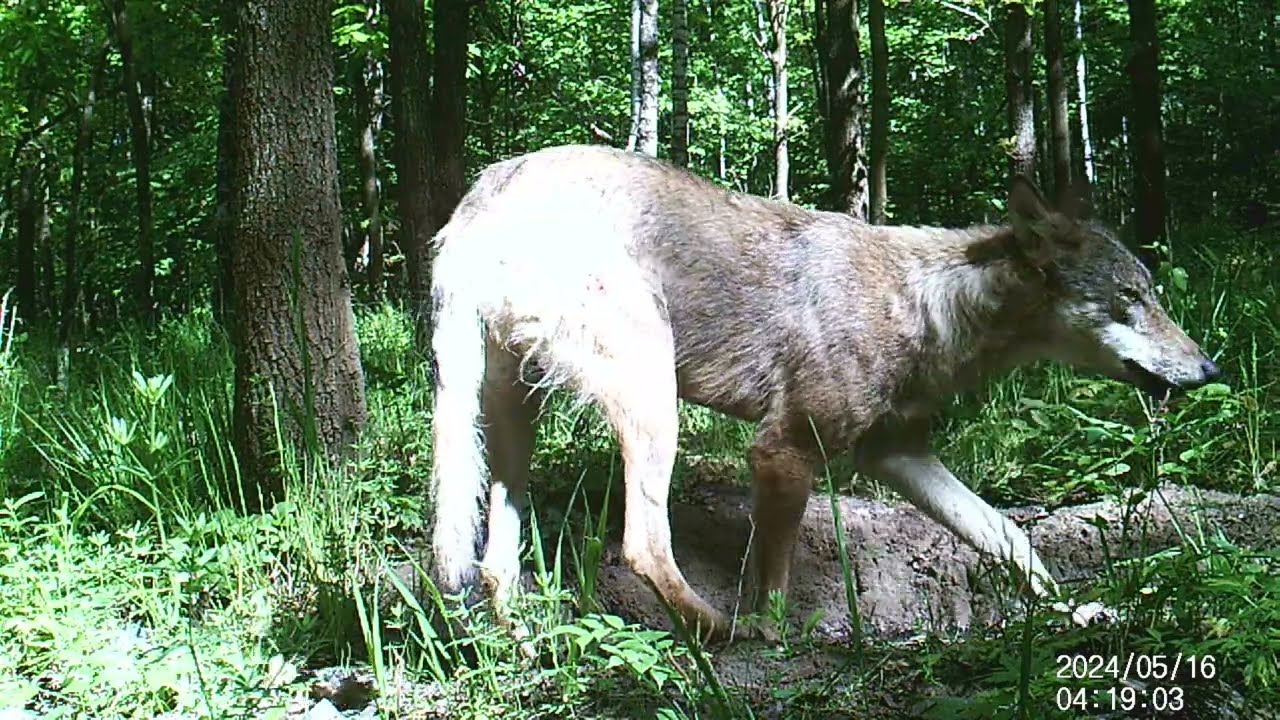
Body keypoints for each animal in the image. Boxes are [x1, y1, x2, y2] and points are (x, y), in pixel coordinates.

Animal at [427, 144, 1220, 641]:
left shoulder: (898, 456)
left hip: (513, 420)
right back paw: (720, 632)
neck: (929, 305)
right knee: (641, 544)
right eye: (1130, 300)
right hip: (653, 399)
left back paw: (525, 637)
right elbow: (774, 576)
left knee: (494, 560)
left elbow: (1009, 535)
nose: (1211, 369)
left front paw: (1074, 614)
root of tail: (483, 193)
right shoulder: (783, 450)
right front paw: (778, 635)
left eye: (1151, 295)